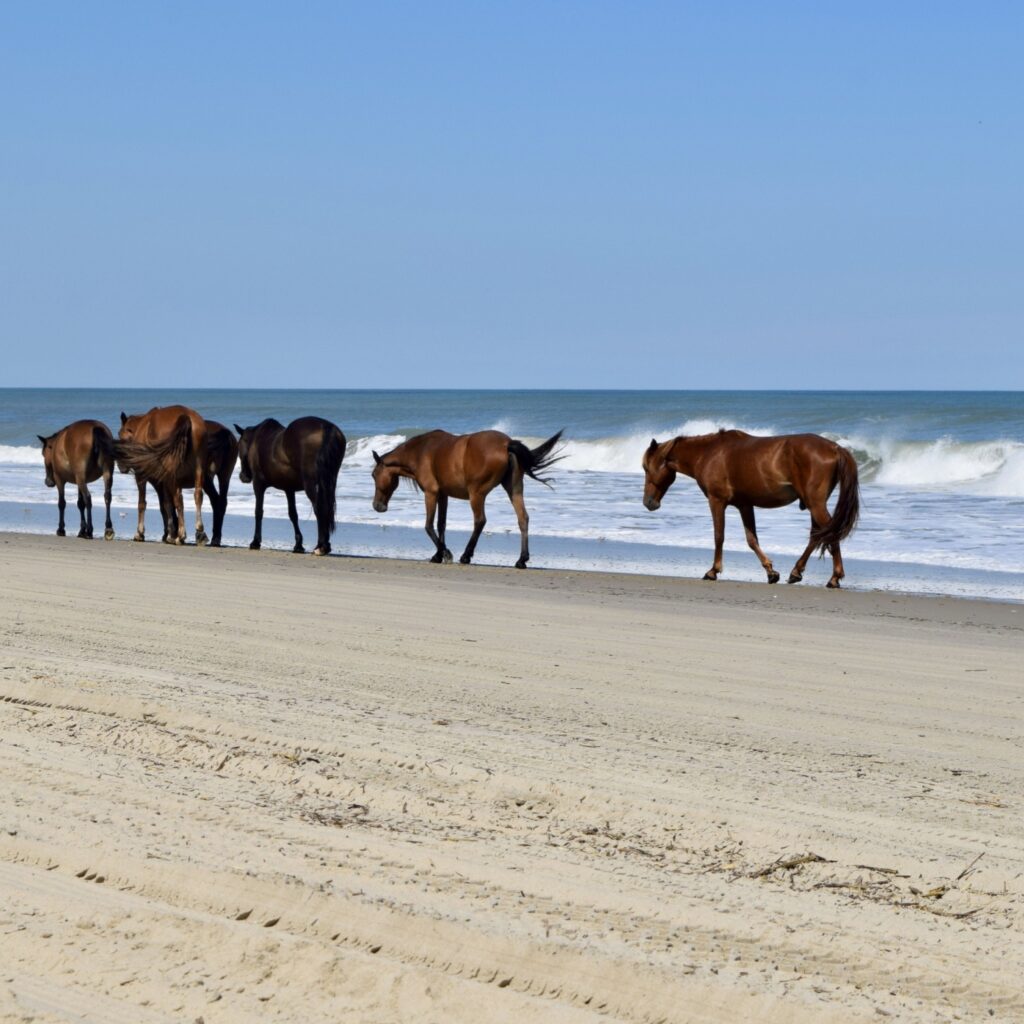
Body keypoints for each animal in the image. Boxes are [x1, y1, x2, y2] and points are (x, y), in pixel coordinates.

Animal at [114, 406, 209, 546]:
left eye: (121, 436)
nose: (120, 466)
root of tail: (186, 417)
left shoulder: (142, 476)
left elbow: (143, 503)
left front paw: (140, 533)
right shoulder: (161, 481)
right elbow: (165, 504)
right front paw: (169, 533)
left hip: (173, 476)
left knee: (179, 499)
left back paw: (181, 535)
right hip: (198, 469)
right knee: (197, 495)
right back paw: (199, 532)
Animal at [234, 417, 346, 556]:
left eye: (239, 446)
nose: (243, 477)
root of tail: (326, 427)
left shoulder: (258, 484)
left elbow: (258, 511)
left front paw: (255, 542)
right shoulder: (289, 489)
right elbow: (293, 514)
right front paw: (298, 545)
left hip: (310, 484)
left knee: (320, 508)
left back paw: (321, 546)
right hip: (328, 482)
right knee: (327, 509)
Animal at [371, 429, 564, 568]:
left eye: (373, 475)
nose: (377, 506)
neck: (420, 452)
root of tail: (506, 443)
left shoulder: (431, 493)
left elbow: (428, 525)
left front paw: (445, 554)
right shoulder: (443, 495)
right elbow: (441, 524)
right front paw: (438, 555)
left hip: (476, 494)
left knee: (480, 520)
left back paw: (466, 555)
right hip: (514, 489)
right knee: (523, 518)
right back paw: (521, 560)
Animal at [642, 430, 860, 588]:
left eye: (645, 467)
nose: (648, 502)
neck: (708, 453)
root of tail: (835, 448)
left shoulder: (716, 501)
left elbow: (719, 536)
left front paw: (713, 571)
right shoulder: (744, 505)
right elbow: (752, 540)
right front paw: (771, 572)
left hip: (815, 504)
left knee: (829, 533)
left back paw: (834, 578)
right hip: (814, 505)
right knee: (818, 535)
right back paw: (796, 572)